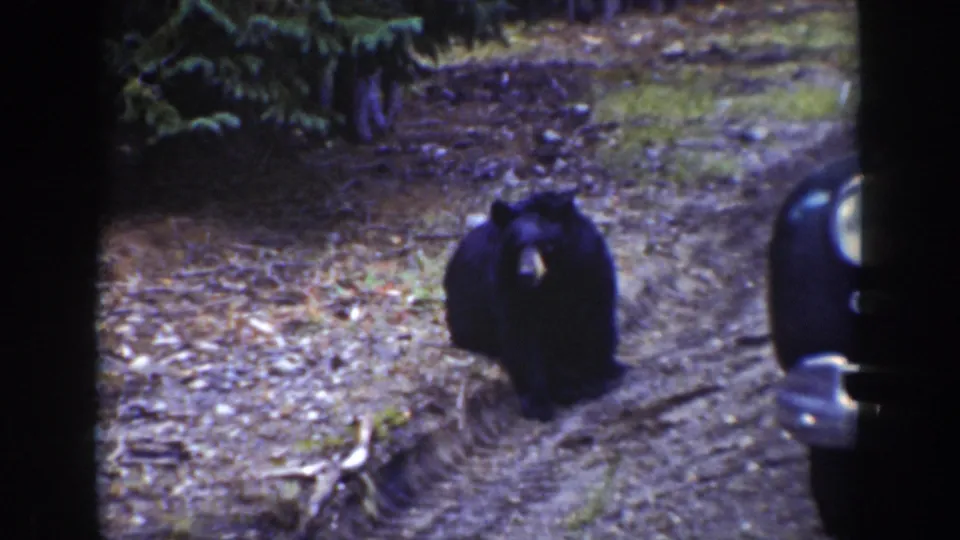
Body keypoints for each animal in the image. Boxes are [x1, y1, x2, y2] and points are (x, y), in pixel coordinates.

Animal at [442, 189, 627, 422]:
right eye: (516, 246)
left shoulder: (589, 267)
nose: (526, 274)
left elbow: (596, 318)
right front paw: (538, 403)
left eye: (545, 244)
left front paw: (603, 374)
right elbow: (521, 337)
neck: (552, 279)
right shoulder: (507, 284)